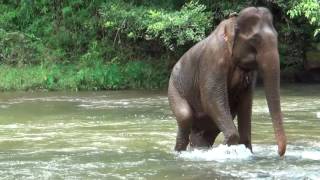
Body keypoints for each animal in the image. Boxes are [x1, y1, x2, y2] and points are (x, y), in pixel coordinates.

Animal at [169, 6, 286, 156]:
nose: (279, 153)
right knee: (185, 116)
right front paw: (226, 148)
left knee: (206, 131)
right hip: (174, 88)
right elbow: (210, 99)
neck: (233, 22)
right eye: (255, 40)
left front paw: (246, 150)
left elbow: (246, 102)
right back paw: (181, 153)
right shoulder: (212, 60)